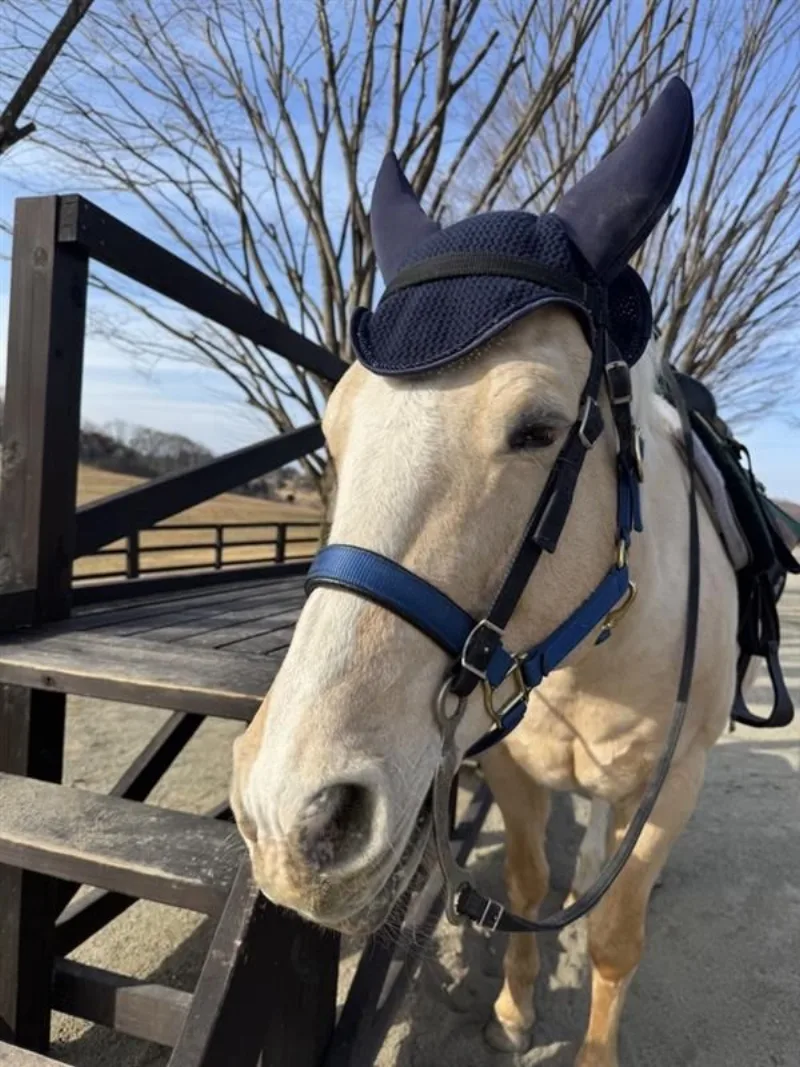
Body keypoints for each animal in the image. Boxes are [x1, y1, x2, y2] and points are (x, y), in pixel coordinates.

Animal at [231, 78, 741, 1066]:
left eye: (538, 429)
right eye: (335, 428)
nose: (289, 815)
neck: (594, 655)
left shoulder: (678, 781)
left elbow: (615, 935)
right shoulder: (507, 763)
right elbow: (530, 881)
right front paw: (511, 1009)